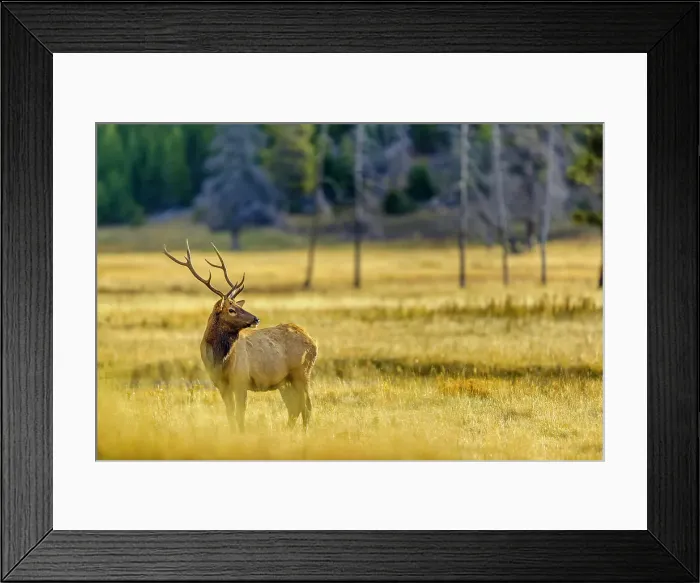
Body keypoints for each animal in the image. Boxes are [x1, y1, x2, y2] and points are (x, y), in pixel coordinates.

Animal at [163, 240, 317, 432]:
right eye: (231, 309)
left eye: (238, 305)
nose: (256, 318)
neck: (220, 361)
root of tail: (313, 342)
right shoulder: (221, 385)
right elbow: (230, 413)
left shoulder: (241, 380)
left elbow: (240, 414)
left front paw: (242, 433)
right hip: (285, 381)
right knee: (294, 408)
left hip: (302, 373)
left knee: (307, 406)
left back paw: (304, 433)